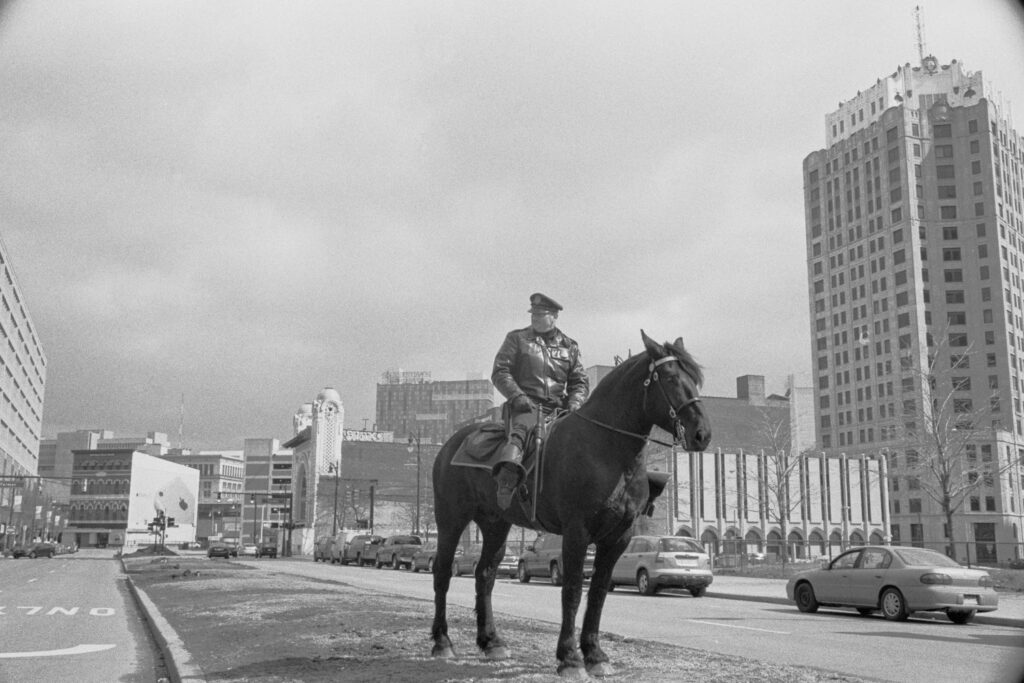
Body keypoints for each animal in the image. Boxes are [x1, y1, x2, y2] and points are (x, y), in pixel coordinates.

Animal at [432, 331, 712, 679]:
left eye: (695, 380)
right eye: (672, 378)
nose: (702, 434)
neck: (607, 449)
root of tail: (449, 445)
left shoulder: (617, 537)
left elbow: (598, 592)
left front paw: (595, 654)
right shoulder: (577, 532)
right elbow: (573, 591)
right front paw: (569, 658)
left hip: (496, 524)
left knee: (485, 574)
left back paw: (491, 642)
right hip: (451, 519)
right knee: (442, 572)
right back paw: (442, 642)